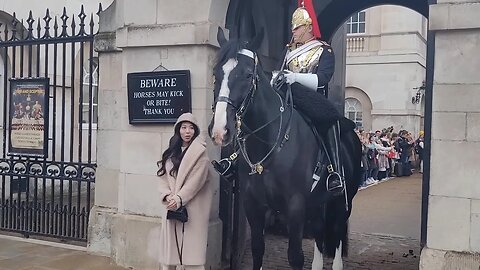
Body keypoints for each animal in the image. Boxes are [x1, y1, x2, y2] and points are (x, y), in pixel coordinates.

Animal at [208, 28, 362, 268]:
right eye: (216, 73)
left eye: (247, 75)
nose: (220, 131)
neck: (268, 143)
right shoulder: (253, 204)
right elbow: (257, 249)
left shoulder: (295, 206)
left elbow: (295, 256)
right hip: (317, 203)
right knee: (319, 231)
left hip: (342, 203)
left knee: (336, 235)